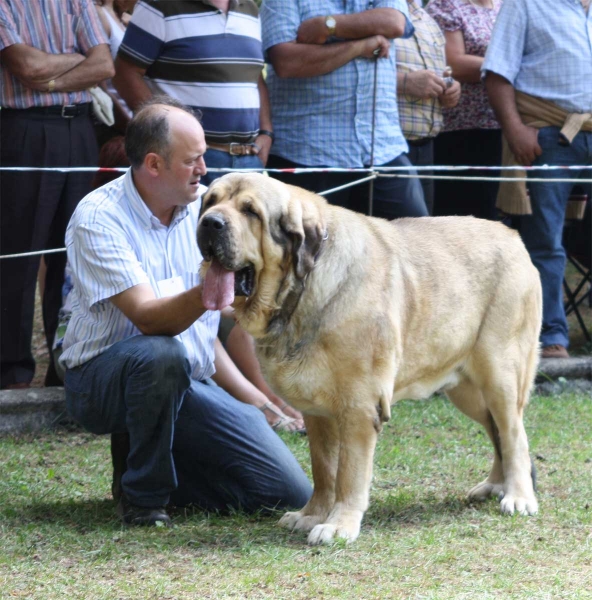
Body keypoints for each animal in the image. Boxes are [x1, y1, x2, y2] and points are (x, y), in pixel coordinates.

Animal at [198, 172, 540, 544]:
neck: (301, 290)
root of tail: (514, 237)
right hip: (466, 391)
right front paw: (311, 514)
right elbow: (323, 469)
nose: (210, 223)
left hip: (499, 375)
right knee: (497, 431)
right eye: (210, 201)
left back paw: (518, 496)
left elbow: (349, 472)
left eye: (251, 211)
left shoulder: (359, 406)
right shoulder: (316, 412)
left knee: (514, 434)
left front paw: (338, 525)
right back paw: (495, 485)